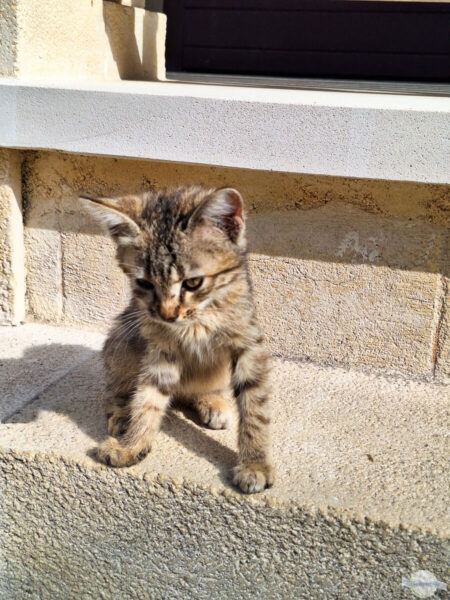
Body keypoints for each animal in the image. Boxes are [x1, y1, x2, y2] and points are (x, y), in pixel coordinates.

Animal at [79, 186, 272, 492]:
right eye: (144, 283)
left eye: (193, 282)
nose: (167, 314)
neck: (198, 320)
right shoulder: (160, 347)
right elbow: (148, 397)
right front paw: (132, 445)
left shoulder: (248, 341)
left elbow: (255, 406)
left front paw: (255, 464)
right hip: (124, 334)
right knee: (113, 386)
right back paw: (122, 413)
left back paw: (213, 403)